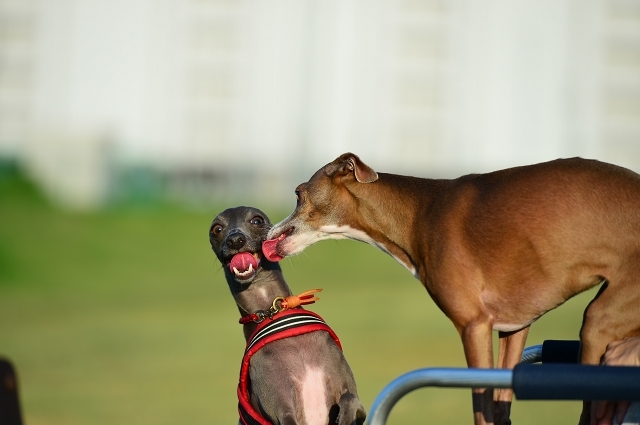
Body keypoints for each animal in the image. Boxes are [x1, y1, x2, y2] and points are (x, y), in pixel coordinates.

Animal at [262, 153, 640, 424]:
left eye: (298, 194)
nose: (267, 234)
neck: (419, 212)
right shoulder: (514, 329)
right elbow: (500, 411)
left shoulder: (474, 326)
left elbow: (480, 410)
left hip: (599, 323)